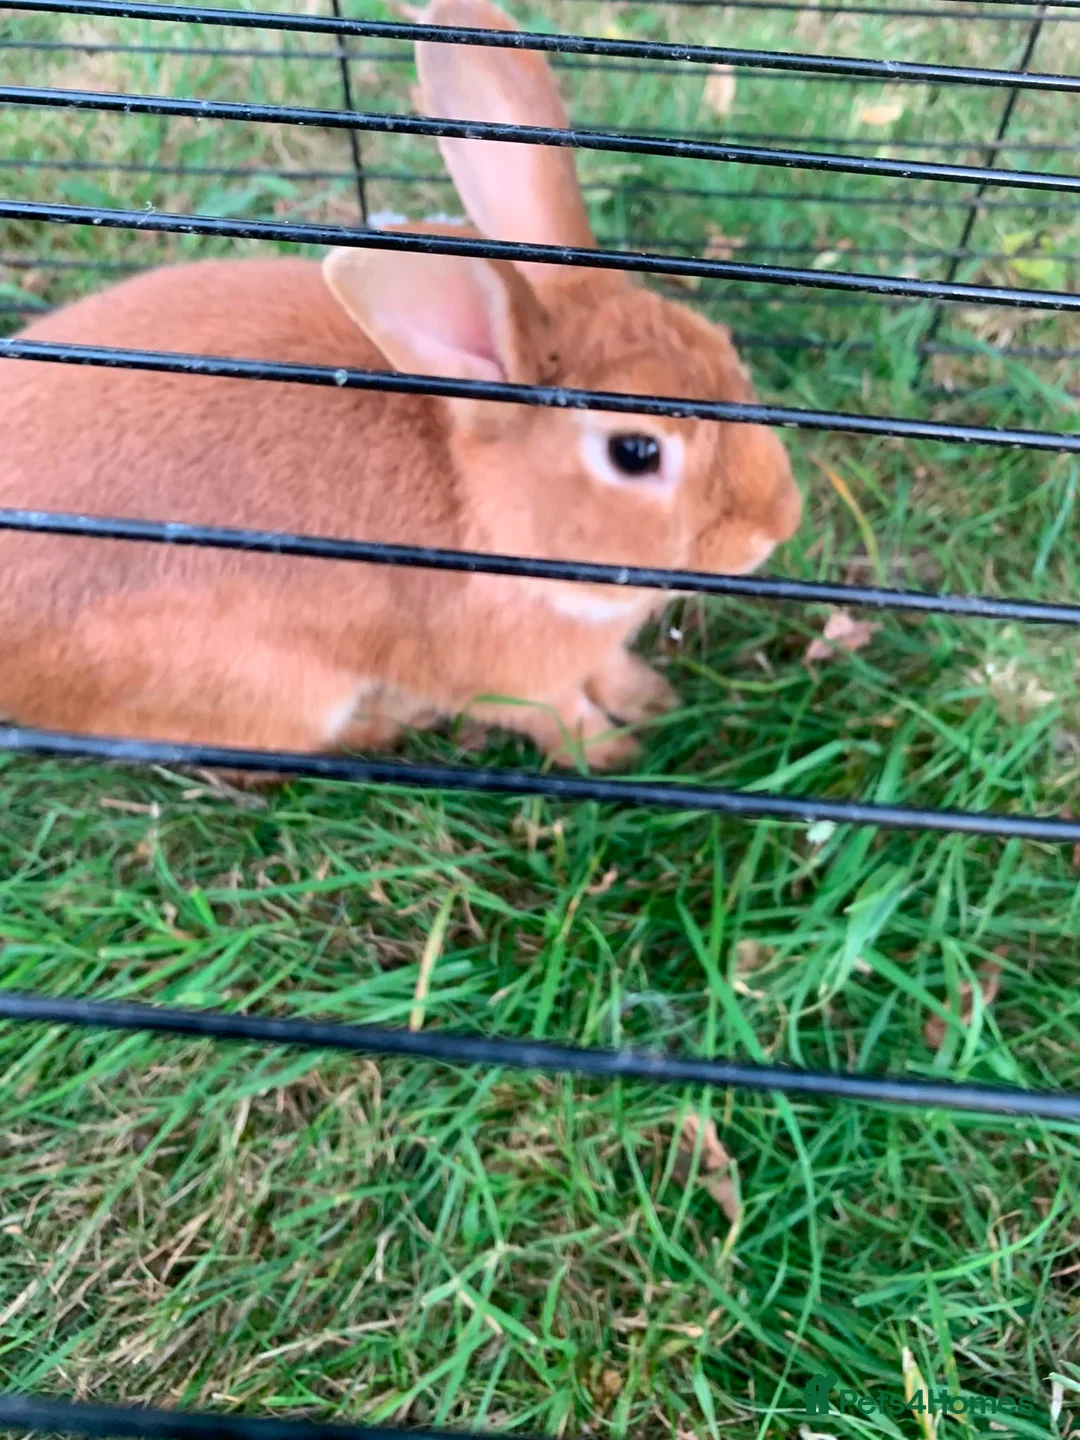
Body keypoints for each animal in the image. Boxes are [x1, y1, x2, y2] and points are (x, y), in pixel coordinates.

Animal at [0, 0, 802, 771]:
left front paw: (651, 699)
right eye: (636, 453)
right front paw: (615, 753)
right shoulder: (506, 679)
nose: (778, 523)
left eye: (723, 346)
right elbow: (559, 718)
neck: (488, 514)